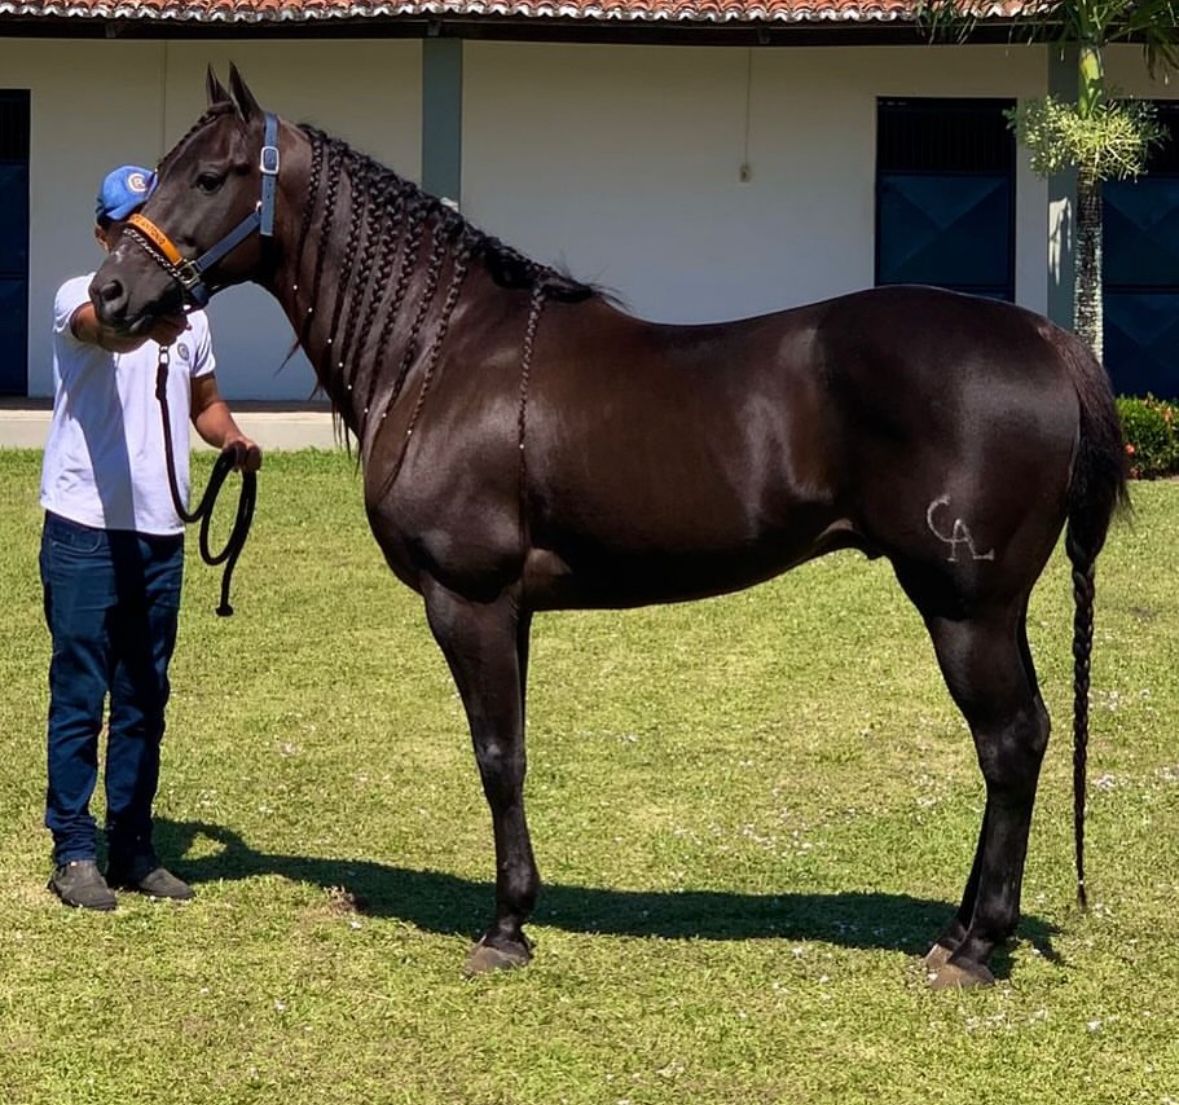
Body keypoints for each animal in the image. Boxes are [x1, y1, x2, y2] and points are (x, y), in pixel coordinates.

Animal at [91, 65, 1127, 989]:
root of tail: (1046, 340)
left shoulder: (466, 600)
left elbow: (496, 755)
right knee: (1021, 740)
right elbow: (512, 750)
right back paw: (957, 929)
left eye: (214, 176)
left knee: (1010, 742)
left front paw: (505, 929)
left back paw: (975, 946)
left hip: (965, 608)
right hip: (986, 609)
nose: (108, 297)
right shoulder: (511, 607)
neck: (441, 352)